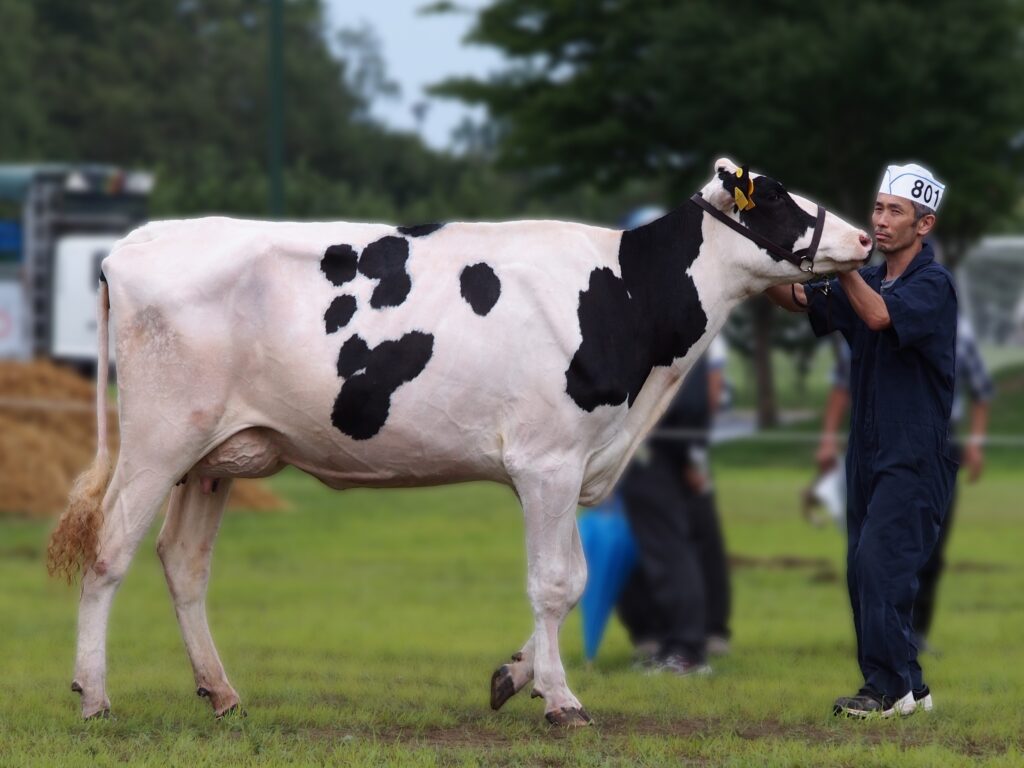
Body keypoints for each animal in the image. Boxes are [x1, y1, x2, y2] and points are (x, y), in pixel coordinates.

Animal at [48, 157, 872, 729]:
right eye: (775, 196)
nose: (864, 234)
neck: (626, 294)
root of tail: (136, 244)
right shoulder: (546, 461)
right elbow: (554, 583)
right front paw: (561, 700)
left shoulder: (574, 464)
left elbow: (574, 579)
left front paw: (514, 676)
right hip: (158, 439)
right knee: (110, 550)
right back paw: (93, 695)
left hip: (217, 455)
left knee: (183, 562)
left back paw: (219, 691)